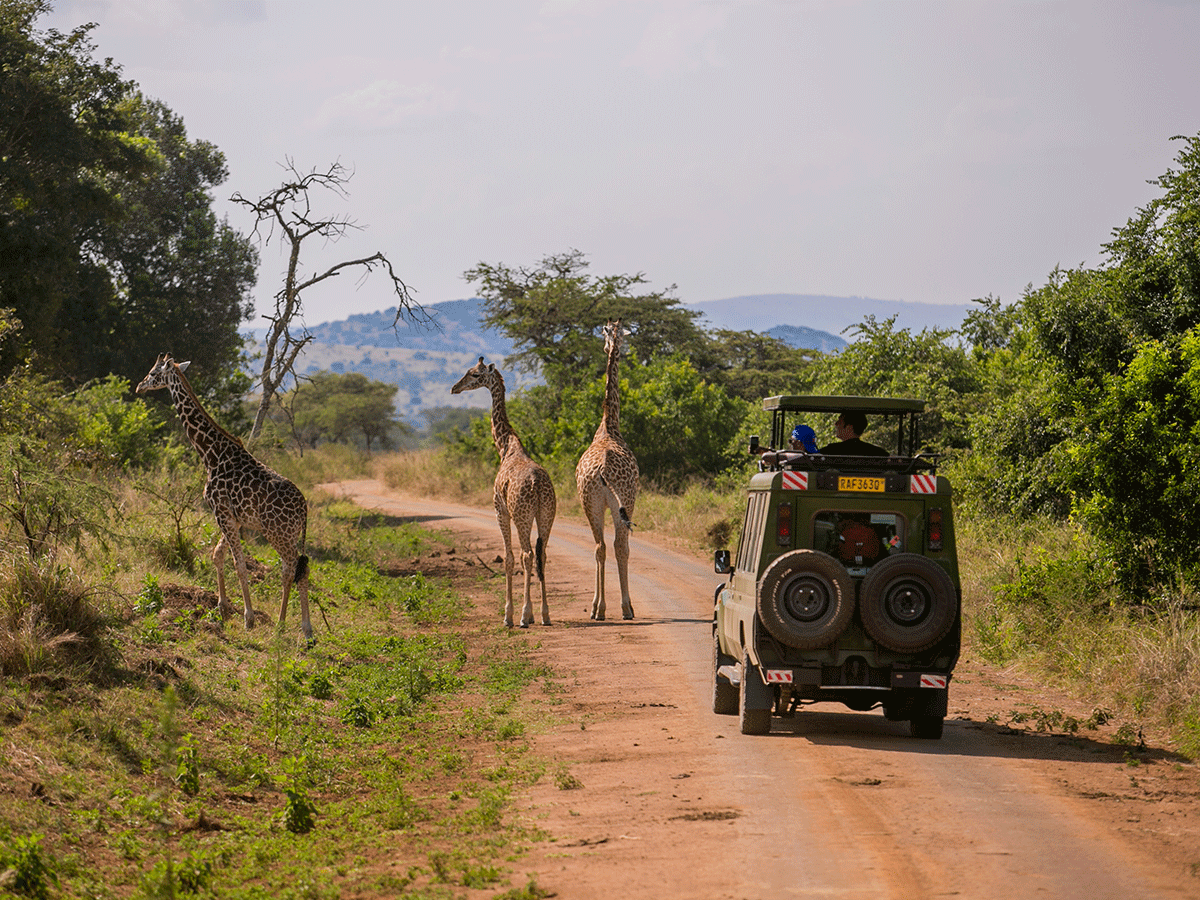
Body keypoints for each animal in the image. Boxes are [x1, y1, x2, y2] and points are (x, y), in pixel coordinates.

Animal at [135, 352, 314, 643]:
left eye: (153, 373)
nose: (140, 386)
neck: (211, 454)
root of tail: (304, 507)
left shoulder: (222, 512)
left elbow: (239, 564)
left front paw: (248, 618)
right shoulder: (232, 517)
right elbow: (217, 556)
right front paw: (222, 608)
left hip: (277, 532)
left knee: (291, 568)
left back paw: (287, 625)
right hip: (291, 534)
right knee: (299, 568)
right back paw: (301, 628)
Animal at [453, 357, 556, 628]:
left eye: (475, 374)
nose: (455, 388)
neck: (505, 447)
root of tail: (537, 486)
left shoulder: (500, 510)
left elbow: (509, 558)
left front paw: (509, 615)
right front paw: (532, 614)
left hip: (521, 516)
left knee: (527, 555)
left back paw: (521, 617)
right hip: (547, 515)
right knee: (541, 554)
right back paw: (545, 615)